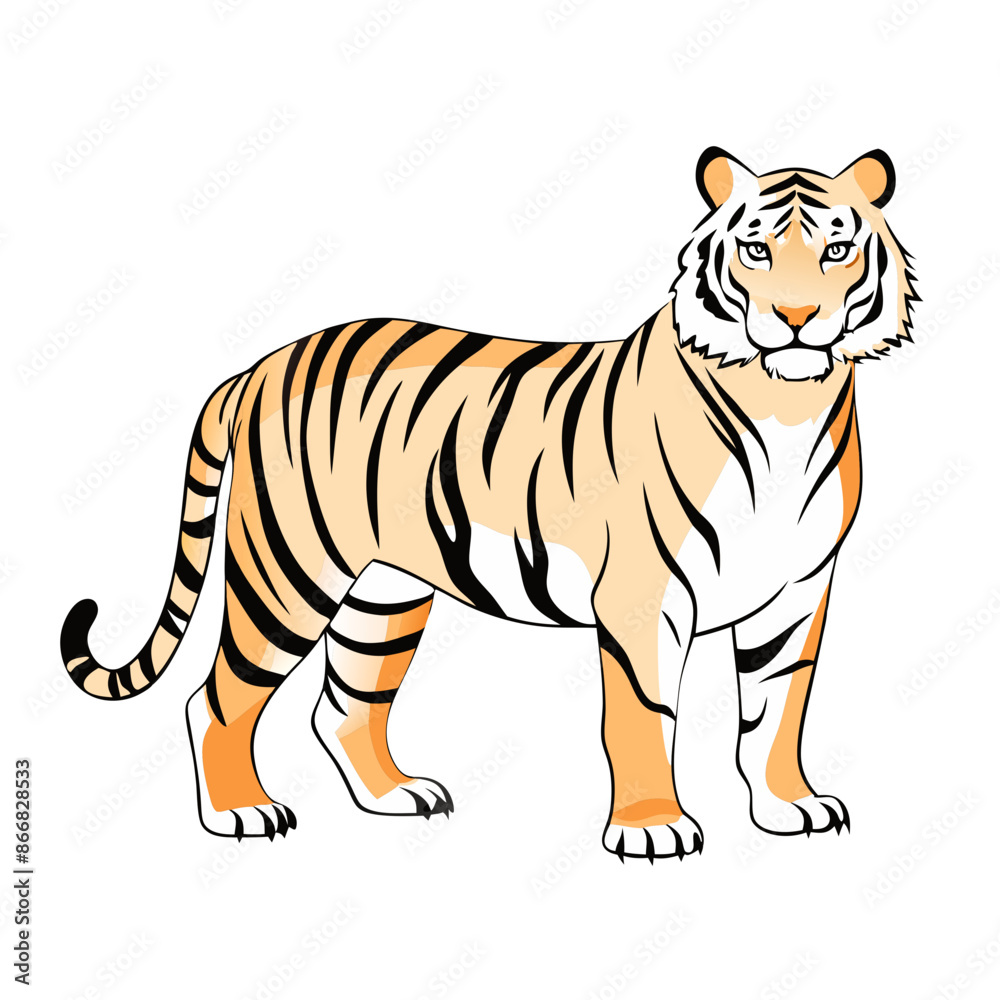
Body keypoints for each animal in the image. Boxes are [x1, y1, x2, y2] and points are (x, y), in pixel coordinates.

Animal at [61, 146, 916, 861]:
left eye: (837, 250)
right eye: (757, 249)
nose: (797, 320)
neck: (787, 403)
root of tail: (260, 365)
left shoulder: (799, 591)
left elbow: (779, 709)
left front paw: (788, 807)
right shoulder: (643, 598)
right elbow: (643, 717)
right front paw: (652, 830)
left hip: (384, 593)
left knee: (343, 705)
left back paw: (396, 796)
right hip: (288, 575)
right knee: (216, 698)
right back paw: (242, 812)